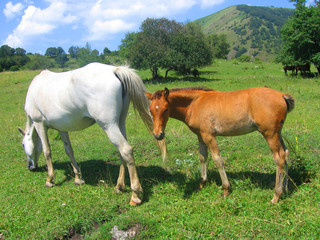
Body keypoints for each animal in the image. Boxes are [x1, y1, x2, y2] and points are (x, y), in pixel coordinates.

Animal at [17, 62, 166, 206]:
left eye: (23, 145)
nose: (30, 167)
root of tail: (114, 71)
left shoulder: (39, 124)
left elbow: (47, 151)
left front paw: (50, 179)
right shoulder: (62, 128)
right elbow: (69, 151)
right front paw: (78, 178)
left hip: (109, 125)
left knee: (126, 150)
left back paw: (135, 195)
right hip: (120, 122)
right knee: (121, 152)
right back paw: (119, 186)